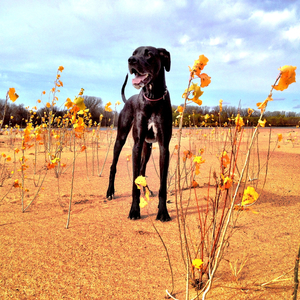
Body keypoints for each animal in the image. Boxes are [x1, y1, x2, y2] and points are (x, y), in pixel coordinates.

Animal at [106, 45, 172, 221]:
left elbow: (163, 184)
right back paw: (110, 192)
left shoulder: (164, 147)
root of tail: (128, 99)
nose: (131, 60)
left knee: (142, 169)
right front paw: (134, 211)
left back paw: (147, 190)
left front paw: (163, 212)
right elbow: (134, 183)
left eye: (149, 54)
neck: (153, 98)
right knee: (113, 166)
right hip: (121, 139)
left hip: (147, 147)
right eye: (134, 53)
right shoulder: (136, 145)